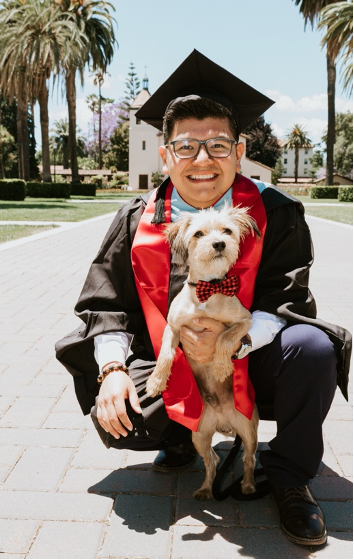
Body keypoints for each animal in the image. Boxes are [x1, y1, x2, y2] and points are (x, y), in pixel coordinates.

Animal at [147, 205, 260, 498]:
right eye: (198, 234)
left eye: (227, 231)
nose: (219, 243)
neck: (207, 292)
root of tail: (222, 421)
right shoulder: (173, 327)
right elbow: (165, 355)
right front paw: (156, 382)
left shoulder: (244, 321)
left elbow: (224, 338)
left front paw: (221, 366)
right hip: (198, 434)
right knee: (213, 459)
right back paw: (206, 489)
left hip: (248, 429)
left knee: (249, 458)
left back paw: (248, 485)